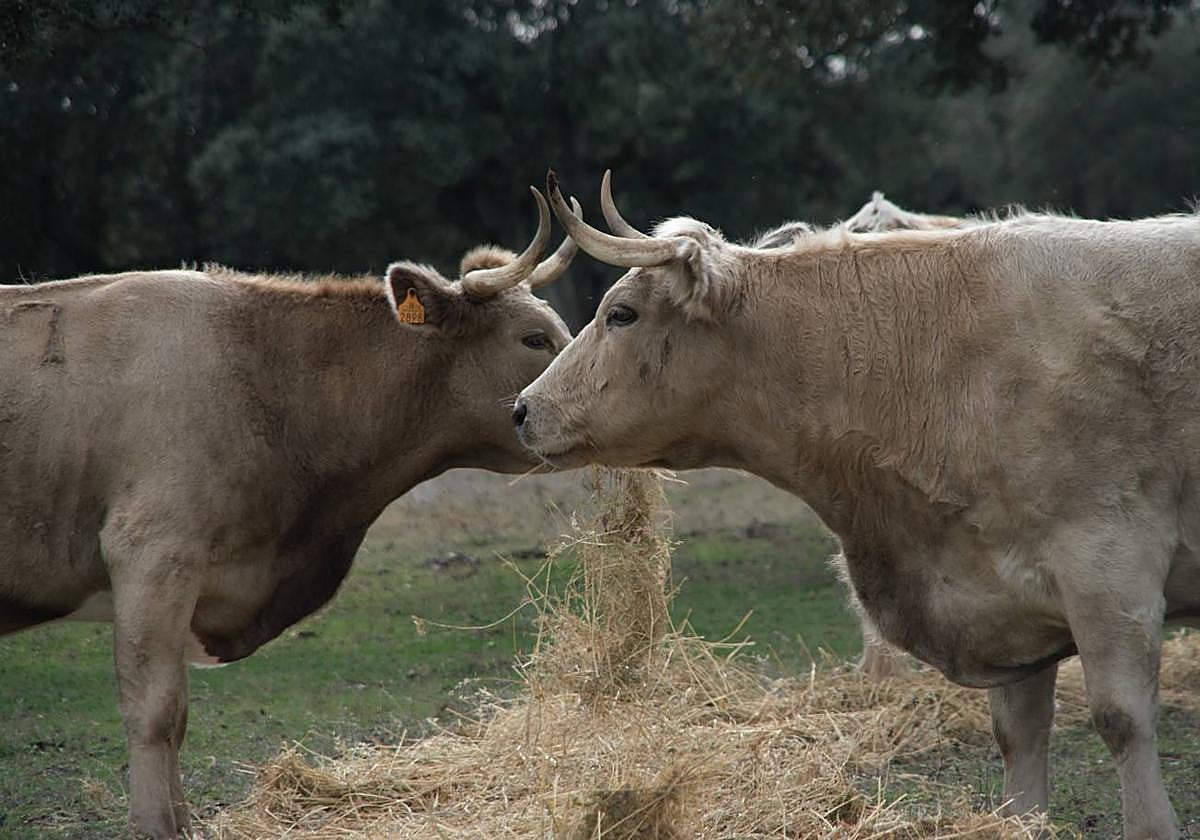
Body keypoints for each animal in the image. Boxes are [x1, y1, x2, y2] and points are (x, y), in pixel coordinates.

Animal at [513, 171, 1200, 839]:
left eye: (621, 314)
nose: (522, 410)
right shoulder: (1010, 599)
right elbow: (1019, 737)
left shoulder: (1108, 567)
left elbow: (1120, 718)